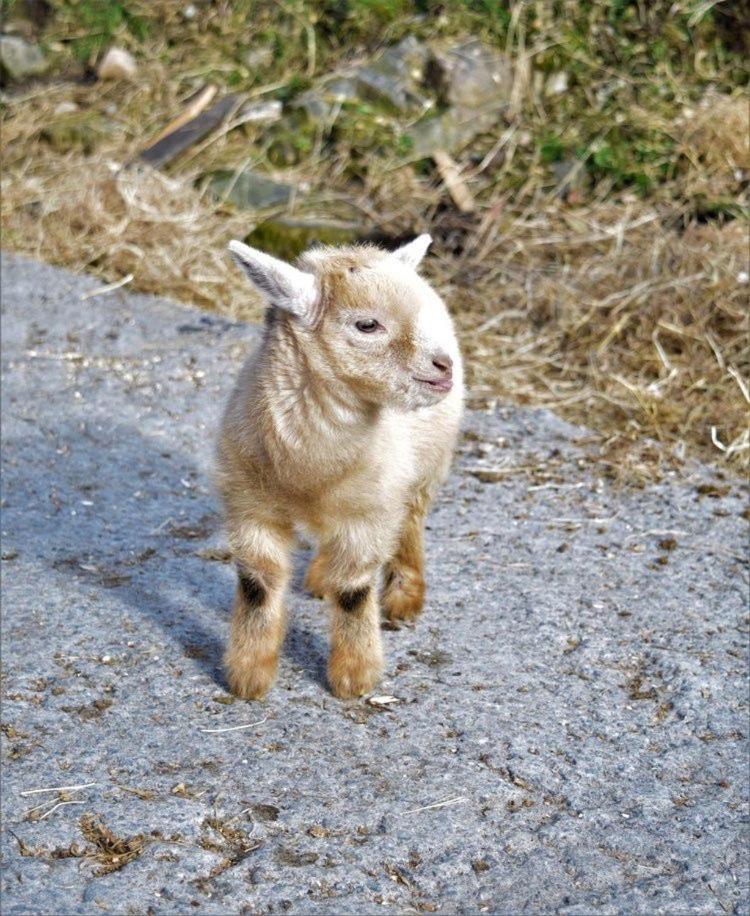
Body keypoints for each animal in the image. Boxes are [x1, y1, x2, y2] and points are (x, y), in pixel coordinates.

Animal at [217, 233, 464, 696]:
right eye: (367, 325)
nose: (443, 367)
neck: (309, 473)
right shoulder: (250, 506)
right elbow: (258, 584)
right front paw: (249, 675)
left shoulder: (370, 512)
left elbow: (353, 591)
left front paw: (354, 676)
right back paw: (319, 578)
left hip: (427, 462)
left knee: (412, 518)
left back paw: (404, 596)